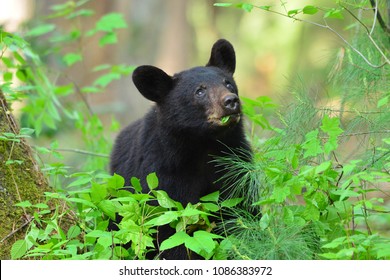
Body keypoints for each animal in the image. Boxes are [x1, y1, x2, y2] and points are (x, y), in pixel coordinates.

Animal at [110, 38, 250, 260]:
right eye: (200, 91)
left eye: (228, 83)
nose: (231, 101)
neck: (203, 145)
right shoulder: (162, 172)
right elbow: (168, 226)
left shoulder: (235, 162)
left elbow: (240, 206)